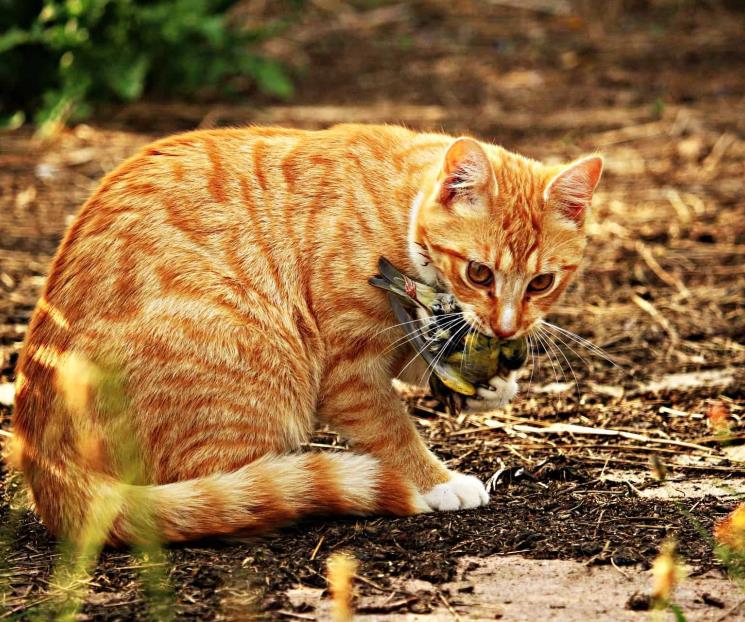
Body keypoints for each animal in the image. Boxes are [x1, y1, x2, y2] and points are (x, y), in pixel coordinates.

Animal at [11, 125, 600, 544]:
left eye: (542, 282)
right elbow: (393, 429)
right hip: (255, 359)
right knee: (225, 494)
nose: (507, 327)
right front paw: (438, 481)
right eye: (479, 273)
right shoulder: (349, 372)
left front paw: (491, 383)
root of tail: (44, 464)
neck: (398, 214)